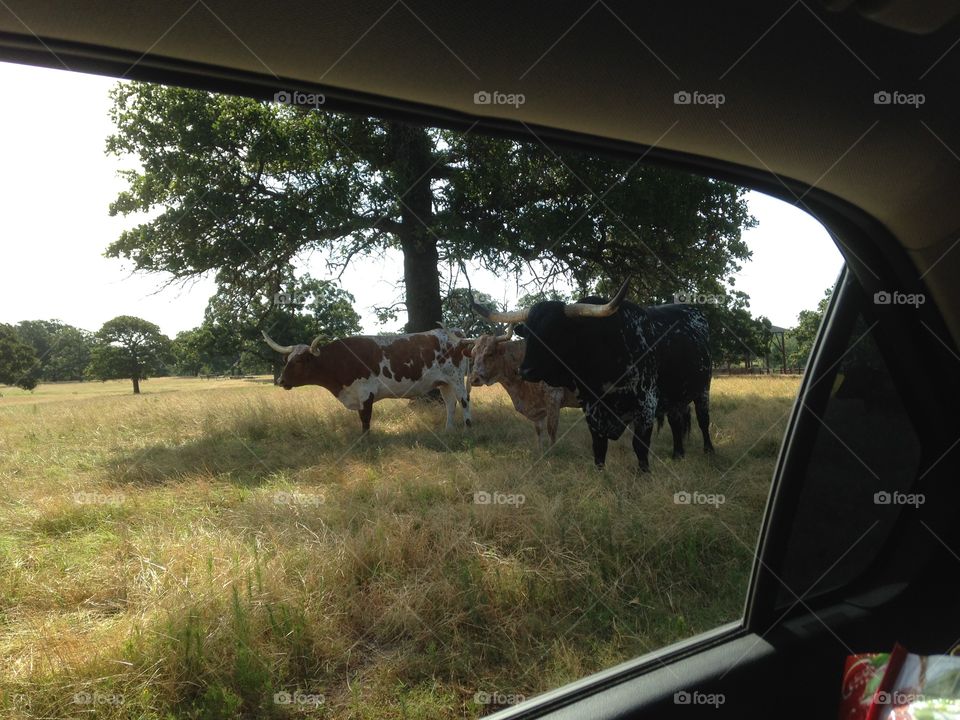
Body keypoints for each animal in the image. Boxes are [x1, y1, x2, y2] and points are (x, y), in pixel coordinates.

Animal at [262, 328, 472, 434]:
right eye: (286, 360)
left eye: (298, 361)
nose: (281, 380)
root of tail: (455, 333)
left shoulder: (365, 393)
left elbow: (365, 420)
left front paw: (366, 442)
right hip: (444, 382)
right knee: (450, 404)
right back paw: (448, 430)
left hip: (457, 379)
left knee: (464, 401)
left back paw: (468, 428)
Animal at [472, 282, 712, 472]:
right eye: (529, 333)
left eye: (555, 331)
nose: (525, 371)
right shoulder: (591, 409)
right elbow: (598, 447)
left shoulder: (646, 404)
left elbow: (640, 447)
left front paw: (644, 475)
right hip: (676, 397)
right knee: (677, 422)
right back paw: (678, 454)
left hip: (703, 390)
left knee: (703, 421)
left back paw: (709, 451)